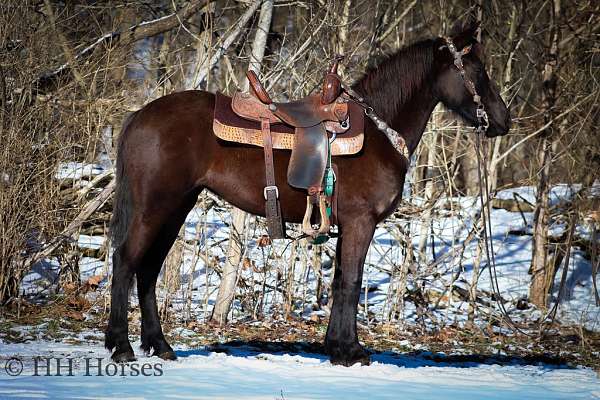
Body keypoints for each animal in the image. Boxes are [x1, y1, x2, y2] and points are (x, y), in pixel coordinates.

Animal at [105, 21, 508, 366]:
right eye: (477, 71)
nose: (503, 121)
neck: (378, 133)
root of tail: (140, 115)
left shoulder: (347, 225)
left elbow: (340, 279)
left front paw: (337, 346)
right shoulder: (361, 223)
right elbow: (351, 281)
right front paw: (351, 352)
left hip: (176, 208)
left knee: (149, 269)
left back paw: (160, 345)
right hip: (154, 207)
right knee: (125, 261)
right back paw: (121, 346)